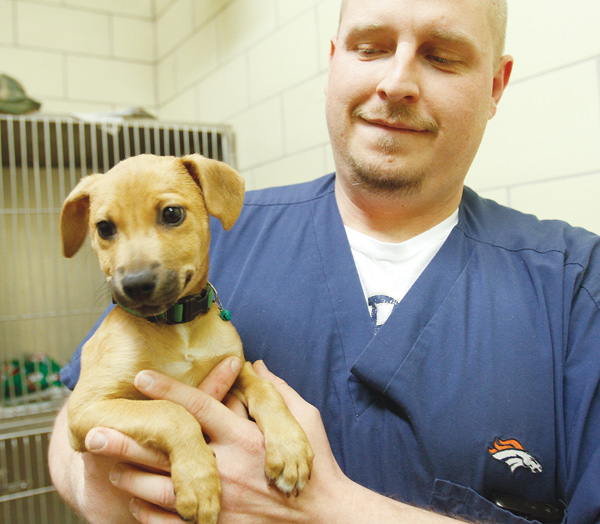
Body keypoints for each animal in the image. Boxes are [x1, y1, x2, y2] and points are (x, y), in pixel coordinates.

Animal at [59, 155, 314, 524]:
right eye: (104, 228)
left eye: (172, 213)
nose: (136, 284)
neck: (176, 325)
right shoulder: (86, 408)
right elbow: (171, 411)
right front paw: (199, 482)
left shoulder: (234, 366)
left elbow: (267, 390)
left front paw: (291, 449)